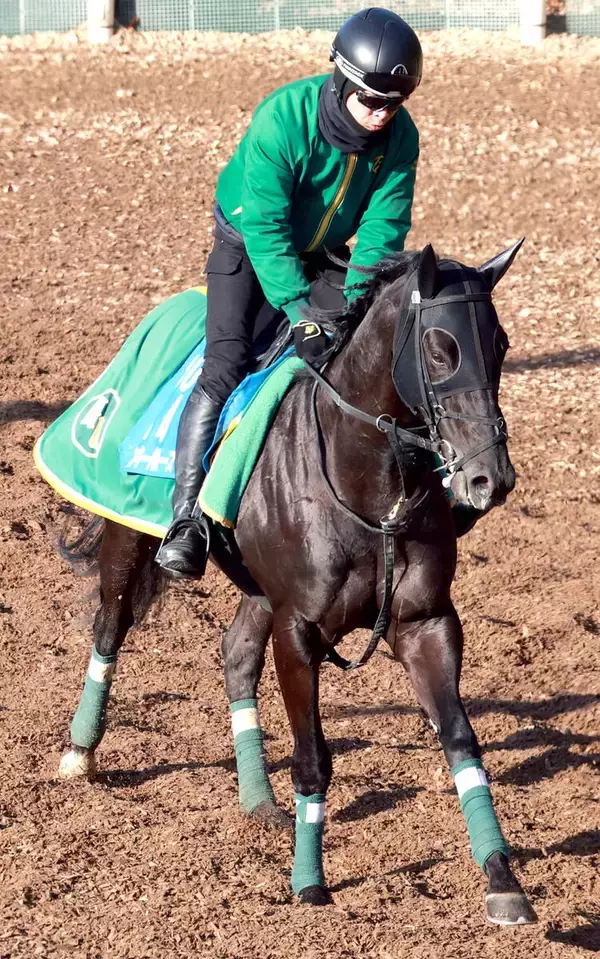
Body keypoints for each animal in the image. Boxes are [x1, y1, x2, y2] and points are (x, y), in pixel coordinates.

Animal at [52, 240, 536, 925]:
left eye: (500, 344)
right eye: (441, 348)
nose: (490, 479)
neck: (369, 486)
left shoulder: (427, 623)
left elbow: (463, 743)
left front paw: (502, 878)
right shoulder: (299, 629)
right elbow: (312, 760)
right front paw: (309, 882)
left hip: (260, 589)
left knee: (234, 654)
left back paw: (258, 799)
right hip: (130, 532)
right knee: (111, 625)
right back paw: (80, 750)